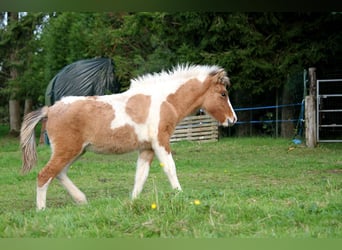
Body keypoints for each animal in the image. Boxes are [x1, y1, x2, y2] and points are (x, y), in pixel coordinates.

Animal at [19, 64, 238, 209]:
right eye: (223, 94)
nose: (232, 119)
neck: (164, 100)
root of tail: (50, 109)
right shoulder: (160, 141)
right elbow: (170, 168)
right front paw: (180, 196)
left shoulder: (147, 148)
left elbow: (141, 175)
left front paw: (133, 202)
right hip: (67, 150)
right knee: (45, 175)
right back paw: (42, 210)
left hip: (76, 151)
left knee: (59, 173)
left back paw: (81, 200)